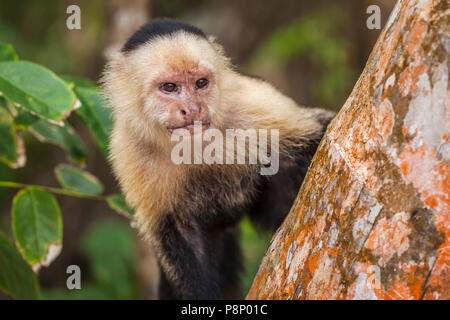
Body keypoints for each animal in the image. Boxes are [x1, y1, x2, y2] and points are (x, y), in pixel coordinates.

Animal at [102, 18, 334, 300]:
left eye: (201, 83)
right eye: (170, 87)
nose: (193, 109)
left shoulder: (251, 101)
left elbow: (319, 131)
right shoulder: (128, 150)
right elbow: (180, 233)